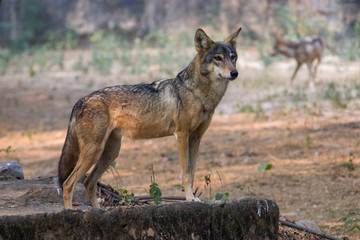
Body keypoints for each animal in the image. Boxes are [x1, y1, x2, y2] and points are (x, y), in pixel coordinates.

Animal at [57, 26, 240, 208]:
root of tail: (80, 101)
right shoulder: (182, 135)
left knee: (88, 182)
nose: (234, 73)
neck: (198, 94)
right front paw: (189, 199)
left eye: (233, 57)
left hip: (110, 153)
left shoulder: (196, 138)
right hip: (94, 152)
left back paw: (97, 211)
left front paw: (194, 199)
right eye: (218, 58)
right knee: (68, 184)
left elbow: (192, 171)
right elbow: (186, 173)